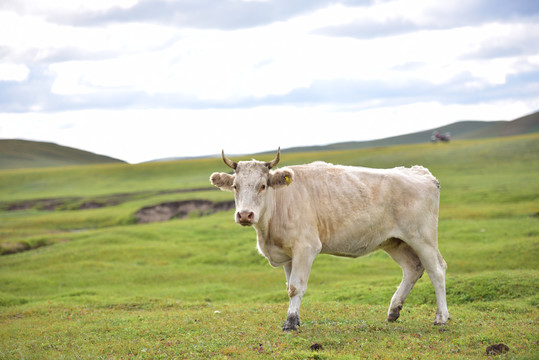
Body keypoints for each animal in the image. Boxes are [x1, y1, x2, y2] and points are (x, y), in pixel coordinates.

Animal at [209, 148, 450, 330]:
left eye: (262, 185)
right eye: (235, 186)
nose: (244, 215)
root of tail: (420, 172)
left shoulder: (306, 248)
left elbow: (296, 286)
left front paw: (291, 322)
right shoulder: (287, 254)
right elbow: (289, 287)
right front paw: (294, 318)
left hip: (422, 237)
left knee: (436, 270)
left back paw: (441, 317)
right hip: (394, 241)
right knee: (413, 268)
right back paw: (393, 311)